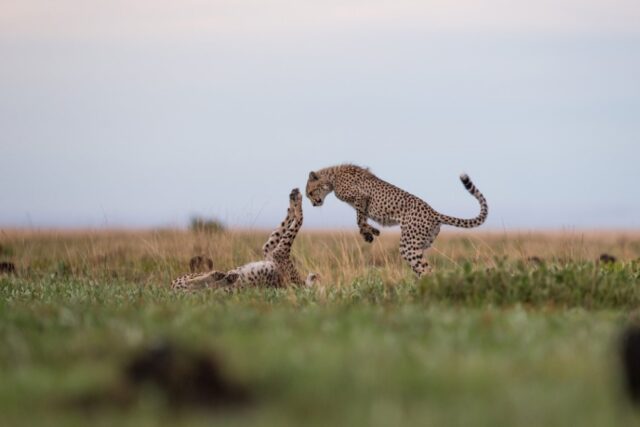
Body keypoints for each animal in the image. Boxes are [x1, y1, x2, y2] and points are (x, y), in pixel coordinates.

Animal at [171, 189, 318, 292]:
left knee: (200, 284)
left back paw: (221, 276)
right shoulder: (269, 251)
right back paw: (223, 276)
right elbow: (279, 231)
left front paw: (297, 201)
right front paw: (292, 205)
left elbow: (299, 220)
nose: (315, 275)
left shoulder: (278, 253)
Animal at [304, 164, 484, 278]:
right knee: (423, 267)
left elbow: (359, 219)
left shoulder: (361, 197)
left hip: (408, 245)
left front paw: (369, 233)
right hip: (421, 243)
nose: (314, 204)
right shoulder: (361, 202)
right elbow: (362, 219)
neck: (333, 177)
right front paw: (371, 232)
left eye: (311, 192)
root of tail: (434, 212)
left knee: (426, 269)